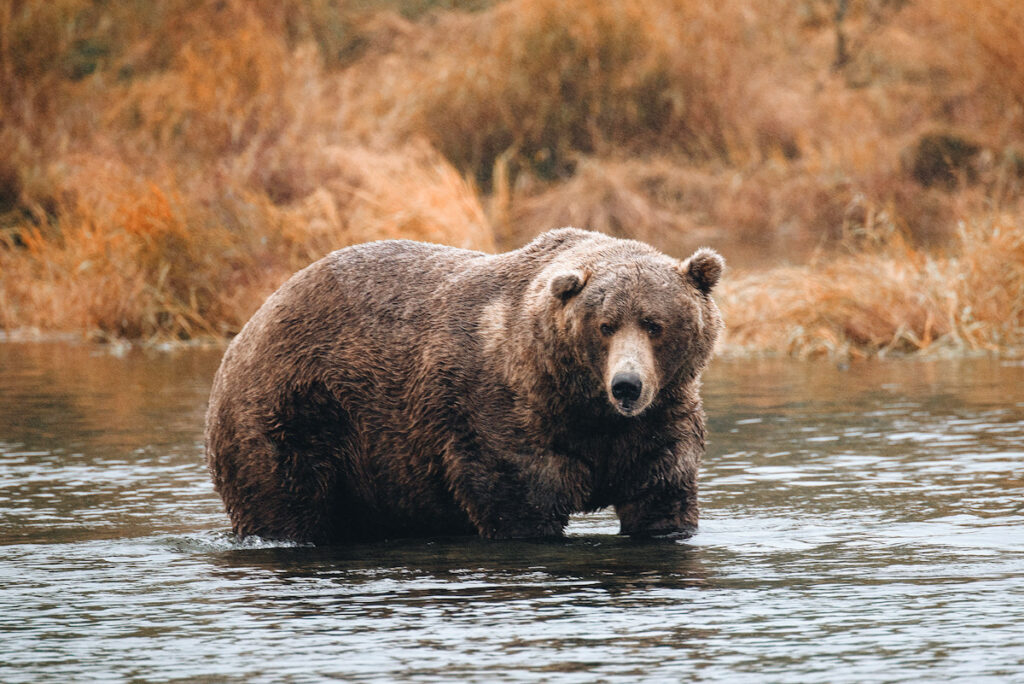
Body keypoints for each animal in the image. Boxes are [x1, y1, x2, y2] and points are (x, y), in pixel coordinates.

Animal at [203, 227, 724, 540]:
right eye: (605, 325)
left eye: (654, 324)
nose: (627, 385)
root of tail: (247, 329)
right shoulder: (501, 417)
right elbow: (521, 502)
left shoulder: (657, 421)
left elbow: (660, 494)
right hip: (295, 413)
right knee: (285, 500)